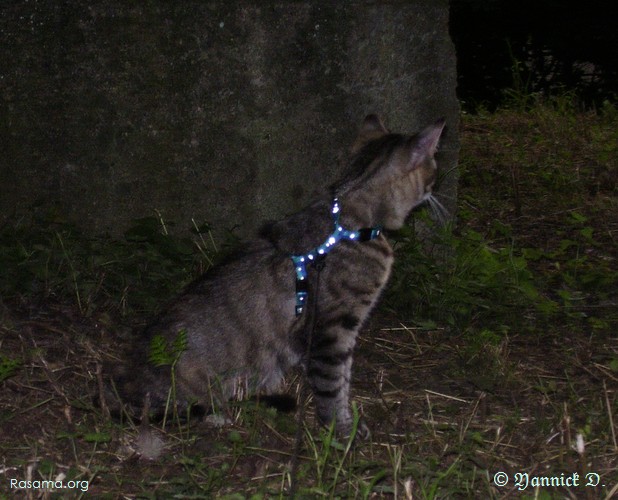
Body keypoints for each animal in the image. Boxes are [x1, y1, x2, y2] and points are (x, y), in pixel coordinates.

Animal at [114, 115, 442, 436]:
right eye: (433, 172)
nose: (434, 191)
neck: (347, 220)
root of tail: (123, 394)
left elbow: (342, 378)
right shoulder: (331, 330)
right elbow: (332, 384)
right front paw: (340, 430)